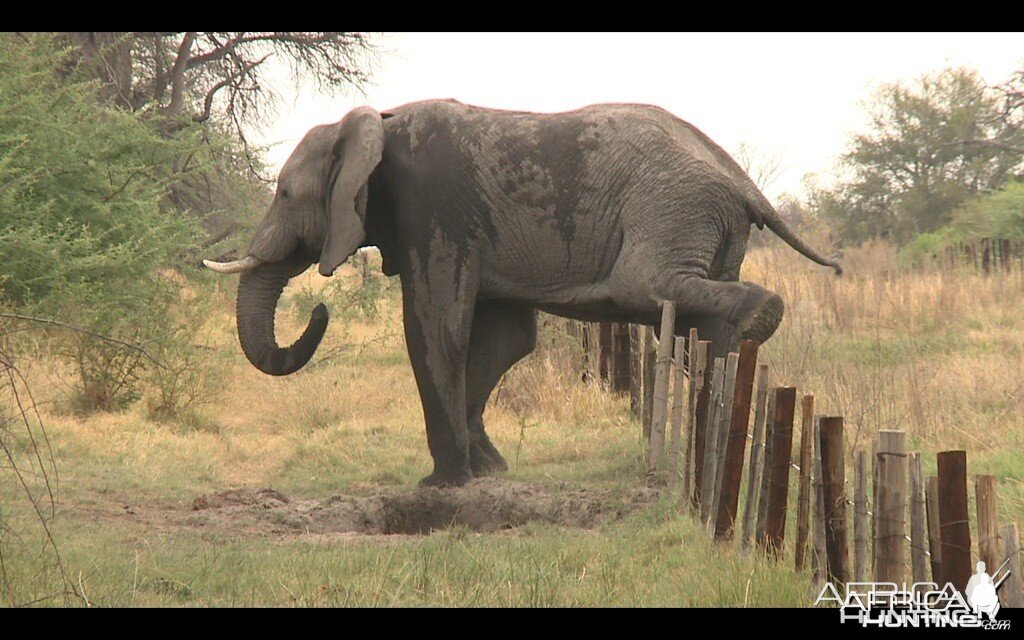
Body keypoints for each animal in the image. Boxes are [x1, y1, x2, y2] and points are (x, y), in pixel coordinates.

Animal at [205, 99, 839, 487]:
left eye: (284, 195)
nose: (318, 308)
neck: (374, 123)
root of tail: (742, 180)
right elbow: (505, 341)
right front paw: (489, 470)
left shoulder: (433, 208)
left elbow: (435, 327)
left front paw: (442, 484)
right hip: (706, 219)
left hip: (671, 207)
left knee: (649, 285)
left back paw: (758, 318)